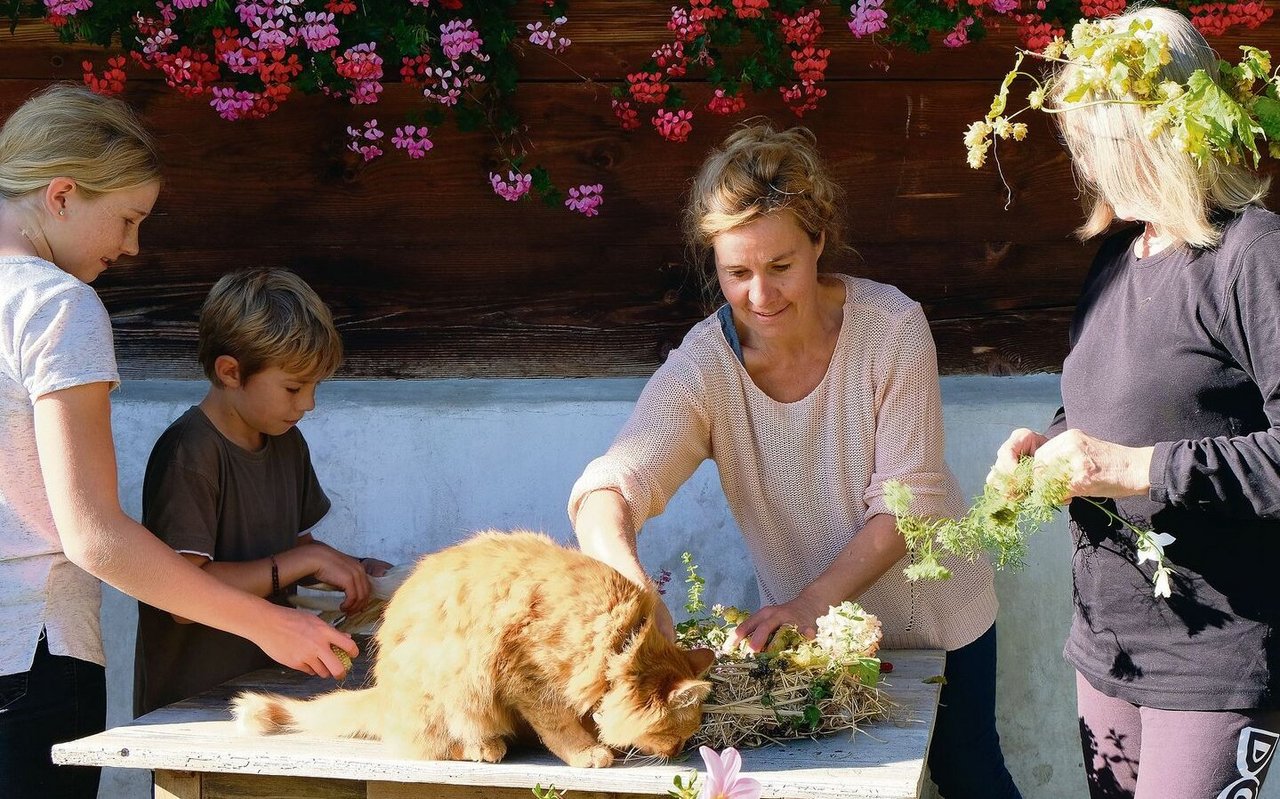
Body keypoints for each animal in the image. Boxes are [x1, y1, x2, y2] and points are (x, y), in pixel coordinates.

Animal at [230, 530, 711, 768]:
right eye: (675, 734)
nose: (677, 754)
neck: (619, 642)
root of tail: (383, 694)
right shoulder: (527, 675)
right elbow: (558, 725)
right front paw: (586, 751)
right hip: (451, 689)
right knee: (434, 743)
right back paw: (484, 748)